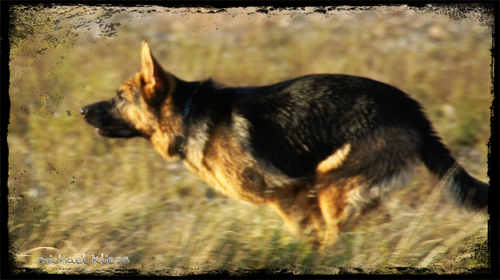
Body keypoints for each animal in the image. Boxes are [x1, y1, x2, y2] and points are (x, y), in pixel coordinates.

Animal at [82, 41, 488, 245]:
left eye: (120, 97)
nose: (82, 109)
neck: (188, 112)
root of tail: (411, 108)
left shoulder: (290, 193)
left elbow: (306, 235)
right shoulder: (302, 195)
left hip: (332, 186)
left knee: (343, 233)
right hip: (342, 189)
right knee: (374, 224)